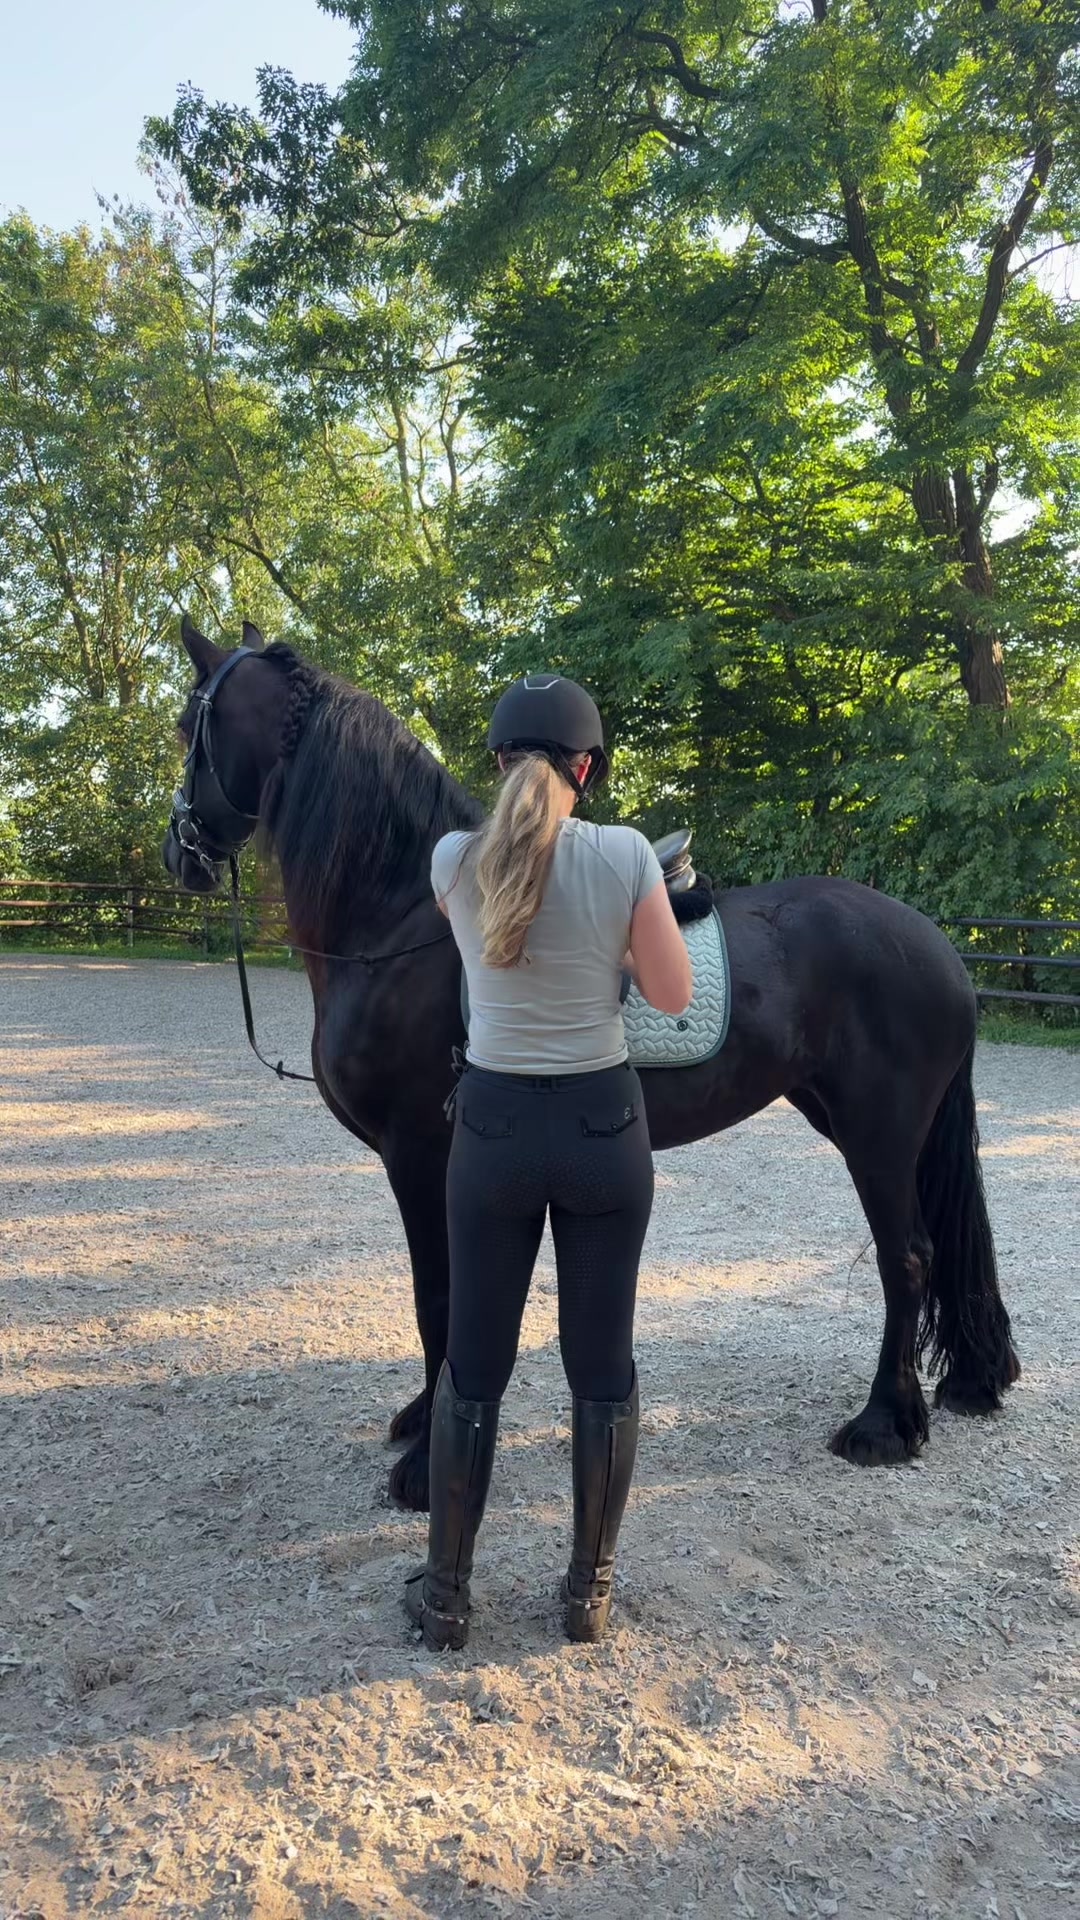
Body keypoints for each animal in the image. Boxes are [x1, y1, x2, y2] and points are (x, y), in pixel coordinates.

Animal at [163, 616, 1020, 1511]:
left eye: (190, 729)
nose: (178, 853)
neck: (405, 920)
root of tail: (936, 946)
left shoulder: (420, 1154)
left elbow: (440, 1295)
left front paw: (426, 1468)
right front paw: (421, 1422)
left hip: (878, 1136)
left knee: (906, 1257)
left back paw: (884, 1424)